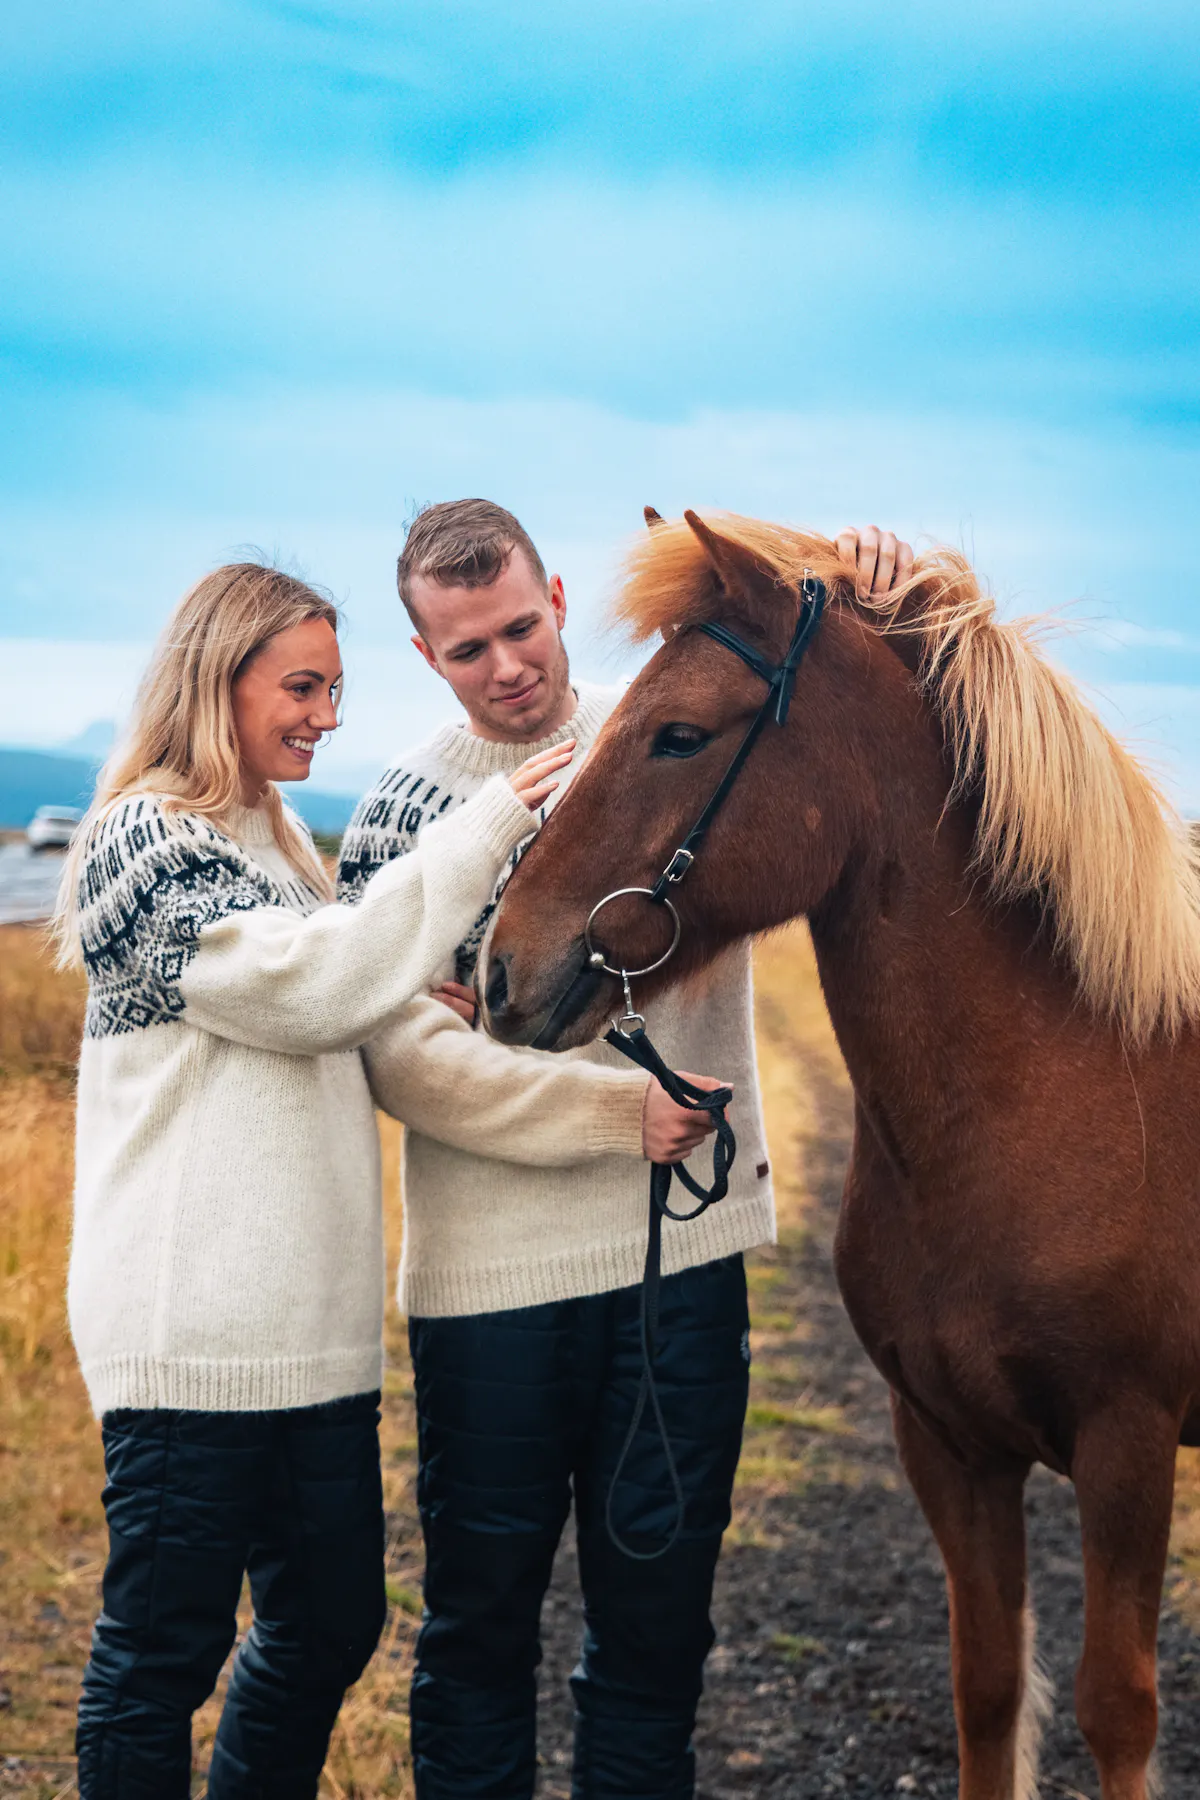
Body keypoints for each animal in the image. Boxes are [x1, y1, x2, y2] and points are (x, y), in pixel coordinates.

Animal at [478, 507, 1200, 1800]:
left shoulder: (1130, 1443)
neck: (1066, 1088)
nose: (500, 965)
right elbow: (988, 1688)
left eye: (677, 733)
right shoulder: (948, 1443)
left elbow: (1117, 1709)